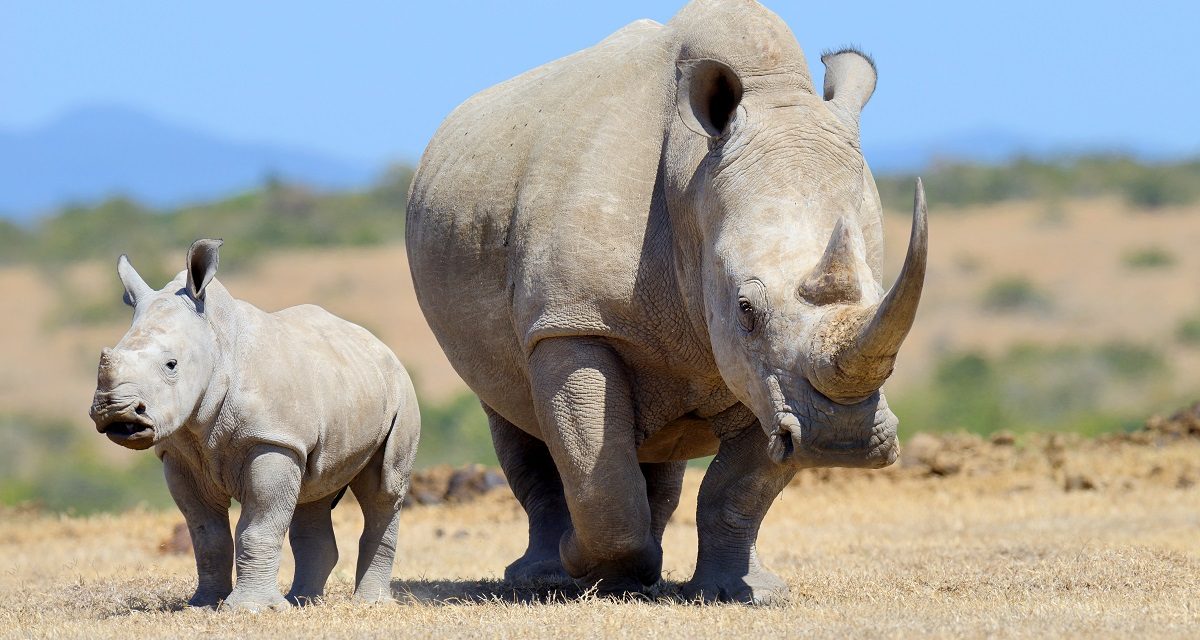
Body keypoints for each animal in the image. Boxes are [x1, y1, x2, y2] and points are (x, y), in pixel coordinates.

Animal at [89, 239, 420, 611]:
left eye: (171, 364)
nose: (117, 413)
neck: (216, 342)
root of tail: (380, 345)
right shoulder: (178, 453)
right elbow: (206, 534)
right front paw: (204, 604)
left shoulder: (272, 439)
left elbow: (258, 526)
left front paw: (249, 608)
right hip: (333, 393)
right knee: (313, 491)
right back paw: (301, 601)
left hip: (400, 391)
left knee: (383, 489)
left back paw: (368, 604)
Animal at [406, 0, 927, 603]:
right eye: (746, 311)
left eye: (881, 298)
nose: (842, 439)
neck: (692, 175)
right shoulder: (571, 320)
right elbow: (598, 477)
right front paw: (588, 568)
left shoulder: (770, 379)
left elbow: (738, 489)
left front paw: (742, 592)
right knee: (512, 413)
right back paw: (548, 576)